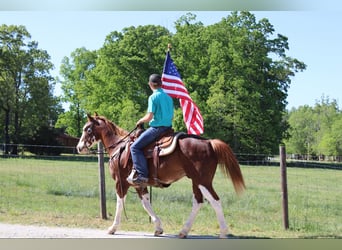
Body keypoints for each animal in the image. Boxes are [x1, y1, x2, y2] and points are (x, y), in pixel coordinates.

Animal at [76, 113, 244, 238]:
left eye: (87, 129)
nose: (79, 147)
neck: (119, 147)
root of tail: (209, 143)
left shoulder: (121, 182)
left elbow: (119, 202)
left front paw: (113, 228)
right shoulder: (139, 184)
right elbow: (146, 203)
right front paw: (158, 227)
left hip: (203, 181)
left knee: (215, 201)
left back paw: (223, 232)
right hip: (196, 181)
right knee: (198, 202)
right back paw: (183, 231)